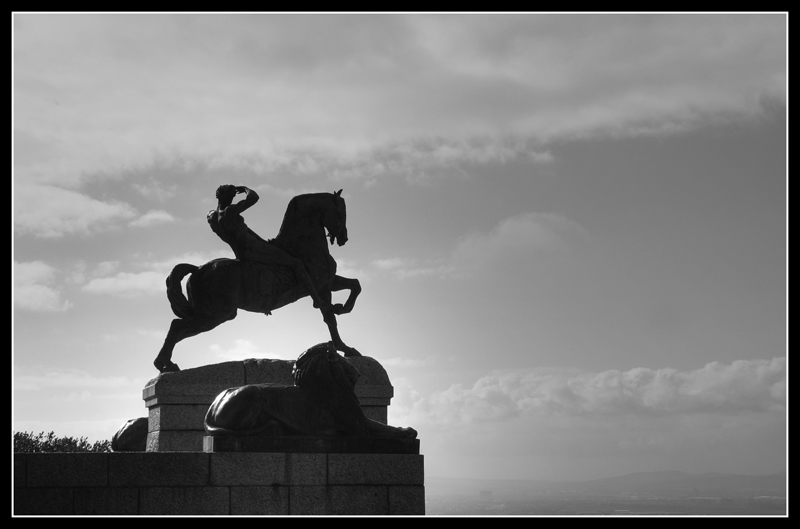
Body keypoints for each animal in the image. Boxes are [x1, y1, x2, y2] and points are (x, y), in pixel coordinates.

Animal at [155, 190, 360, 372]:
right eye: (341, 213)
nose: (344, 238)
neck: (301, 245)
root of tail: (197, 269)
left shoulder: (328, 282)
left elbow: (355, 285)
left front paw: (343, 309)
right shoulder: (320, 285)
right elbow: (329, 316)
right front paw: (345, 345)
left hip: (212, 315)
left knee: (176, 327)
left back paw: (165, 365)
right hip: (216, 315)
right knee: (177, 327)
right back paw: (164, 364)